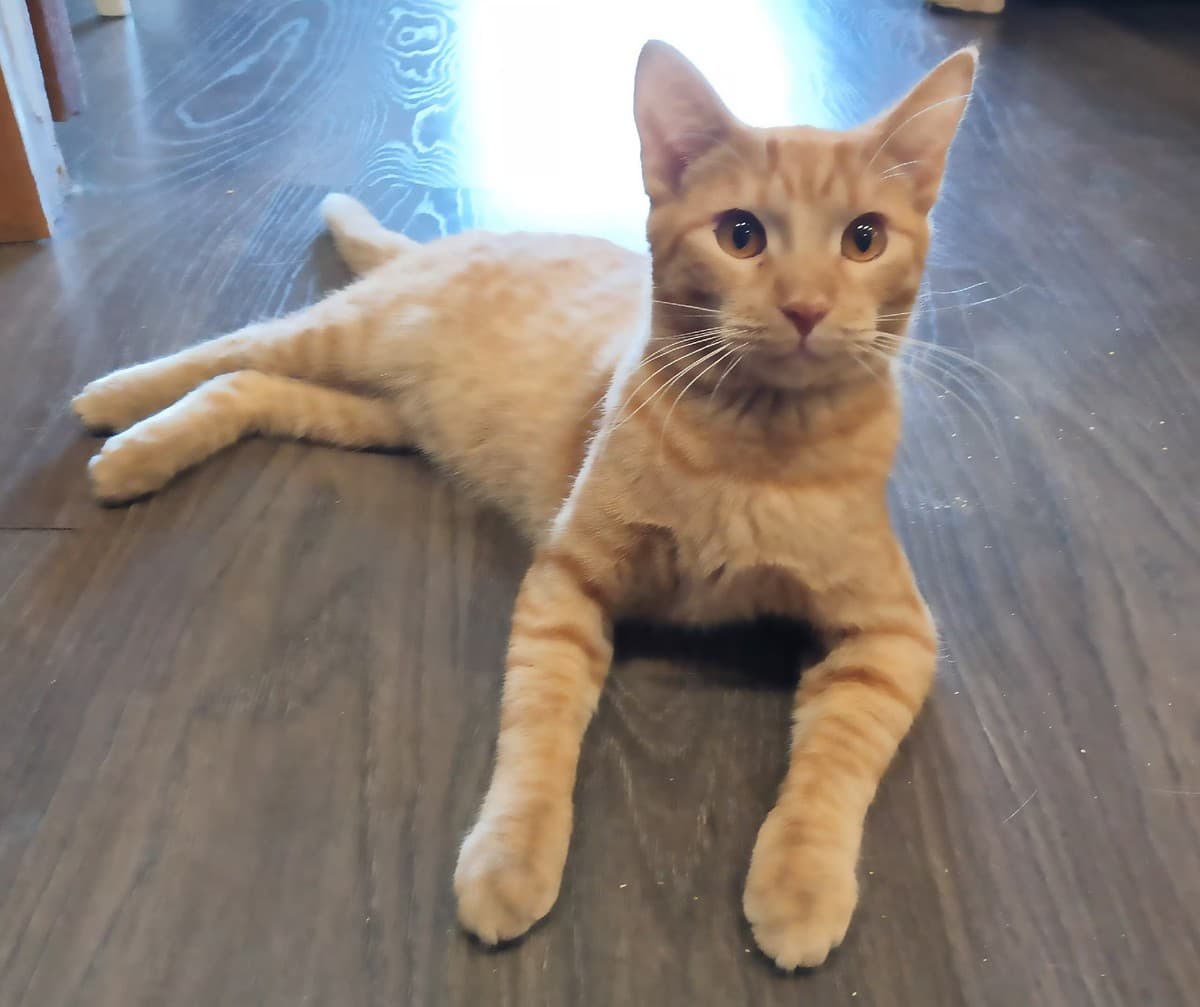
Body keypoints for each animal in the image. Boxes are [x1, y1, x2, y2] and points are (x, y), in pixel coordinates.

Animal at [71, 41, 978, 969]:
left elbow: (837, 763)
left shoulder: (894, 635)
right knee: (231, 347)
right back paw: (117, 409)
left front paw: (803, 878)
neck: (751, 452)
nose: (805, 308)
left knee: (246, 385)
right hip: (349, 338)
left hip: (375, 416)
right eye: (741, 235)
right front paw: (513, 853)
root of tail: (455, 237)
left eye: (864, 238)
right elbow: (538, 729)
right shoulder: (568, 580)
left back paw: (141, 448)